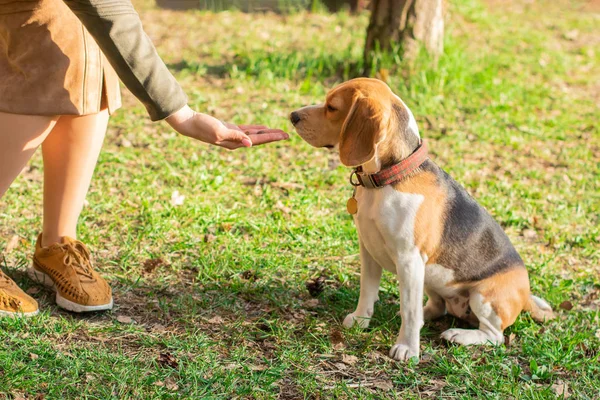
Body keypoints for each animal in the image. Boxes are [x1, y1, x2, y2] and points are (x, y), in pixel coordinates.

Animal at [290, 76, 552, 360]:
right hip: (429, 278)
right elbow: (367, 290)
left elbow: (410, 310)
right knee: (436, 307)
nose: (293, 116)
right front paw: (361, 319)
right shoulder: (368, 249)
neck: (388, 178)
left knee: (494, 336)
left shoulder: (409, 259)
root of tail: (525, 293)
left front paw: (407, 347)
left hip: (482, 297)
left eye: (332, 107)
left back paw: (459, 335)